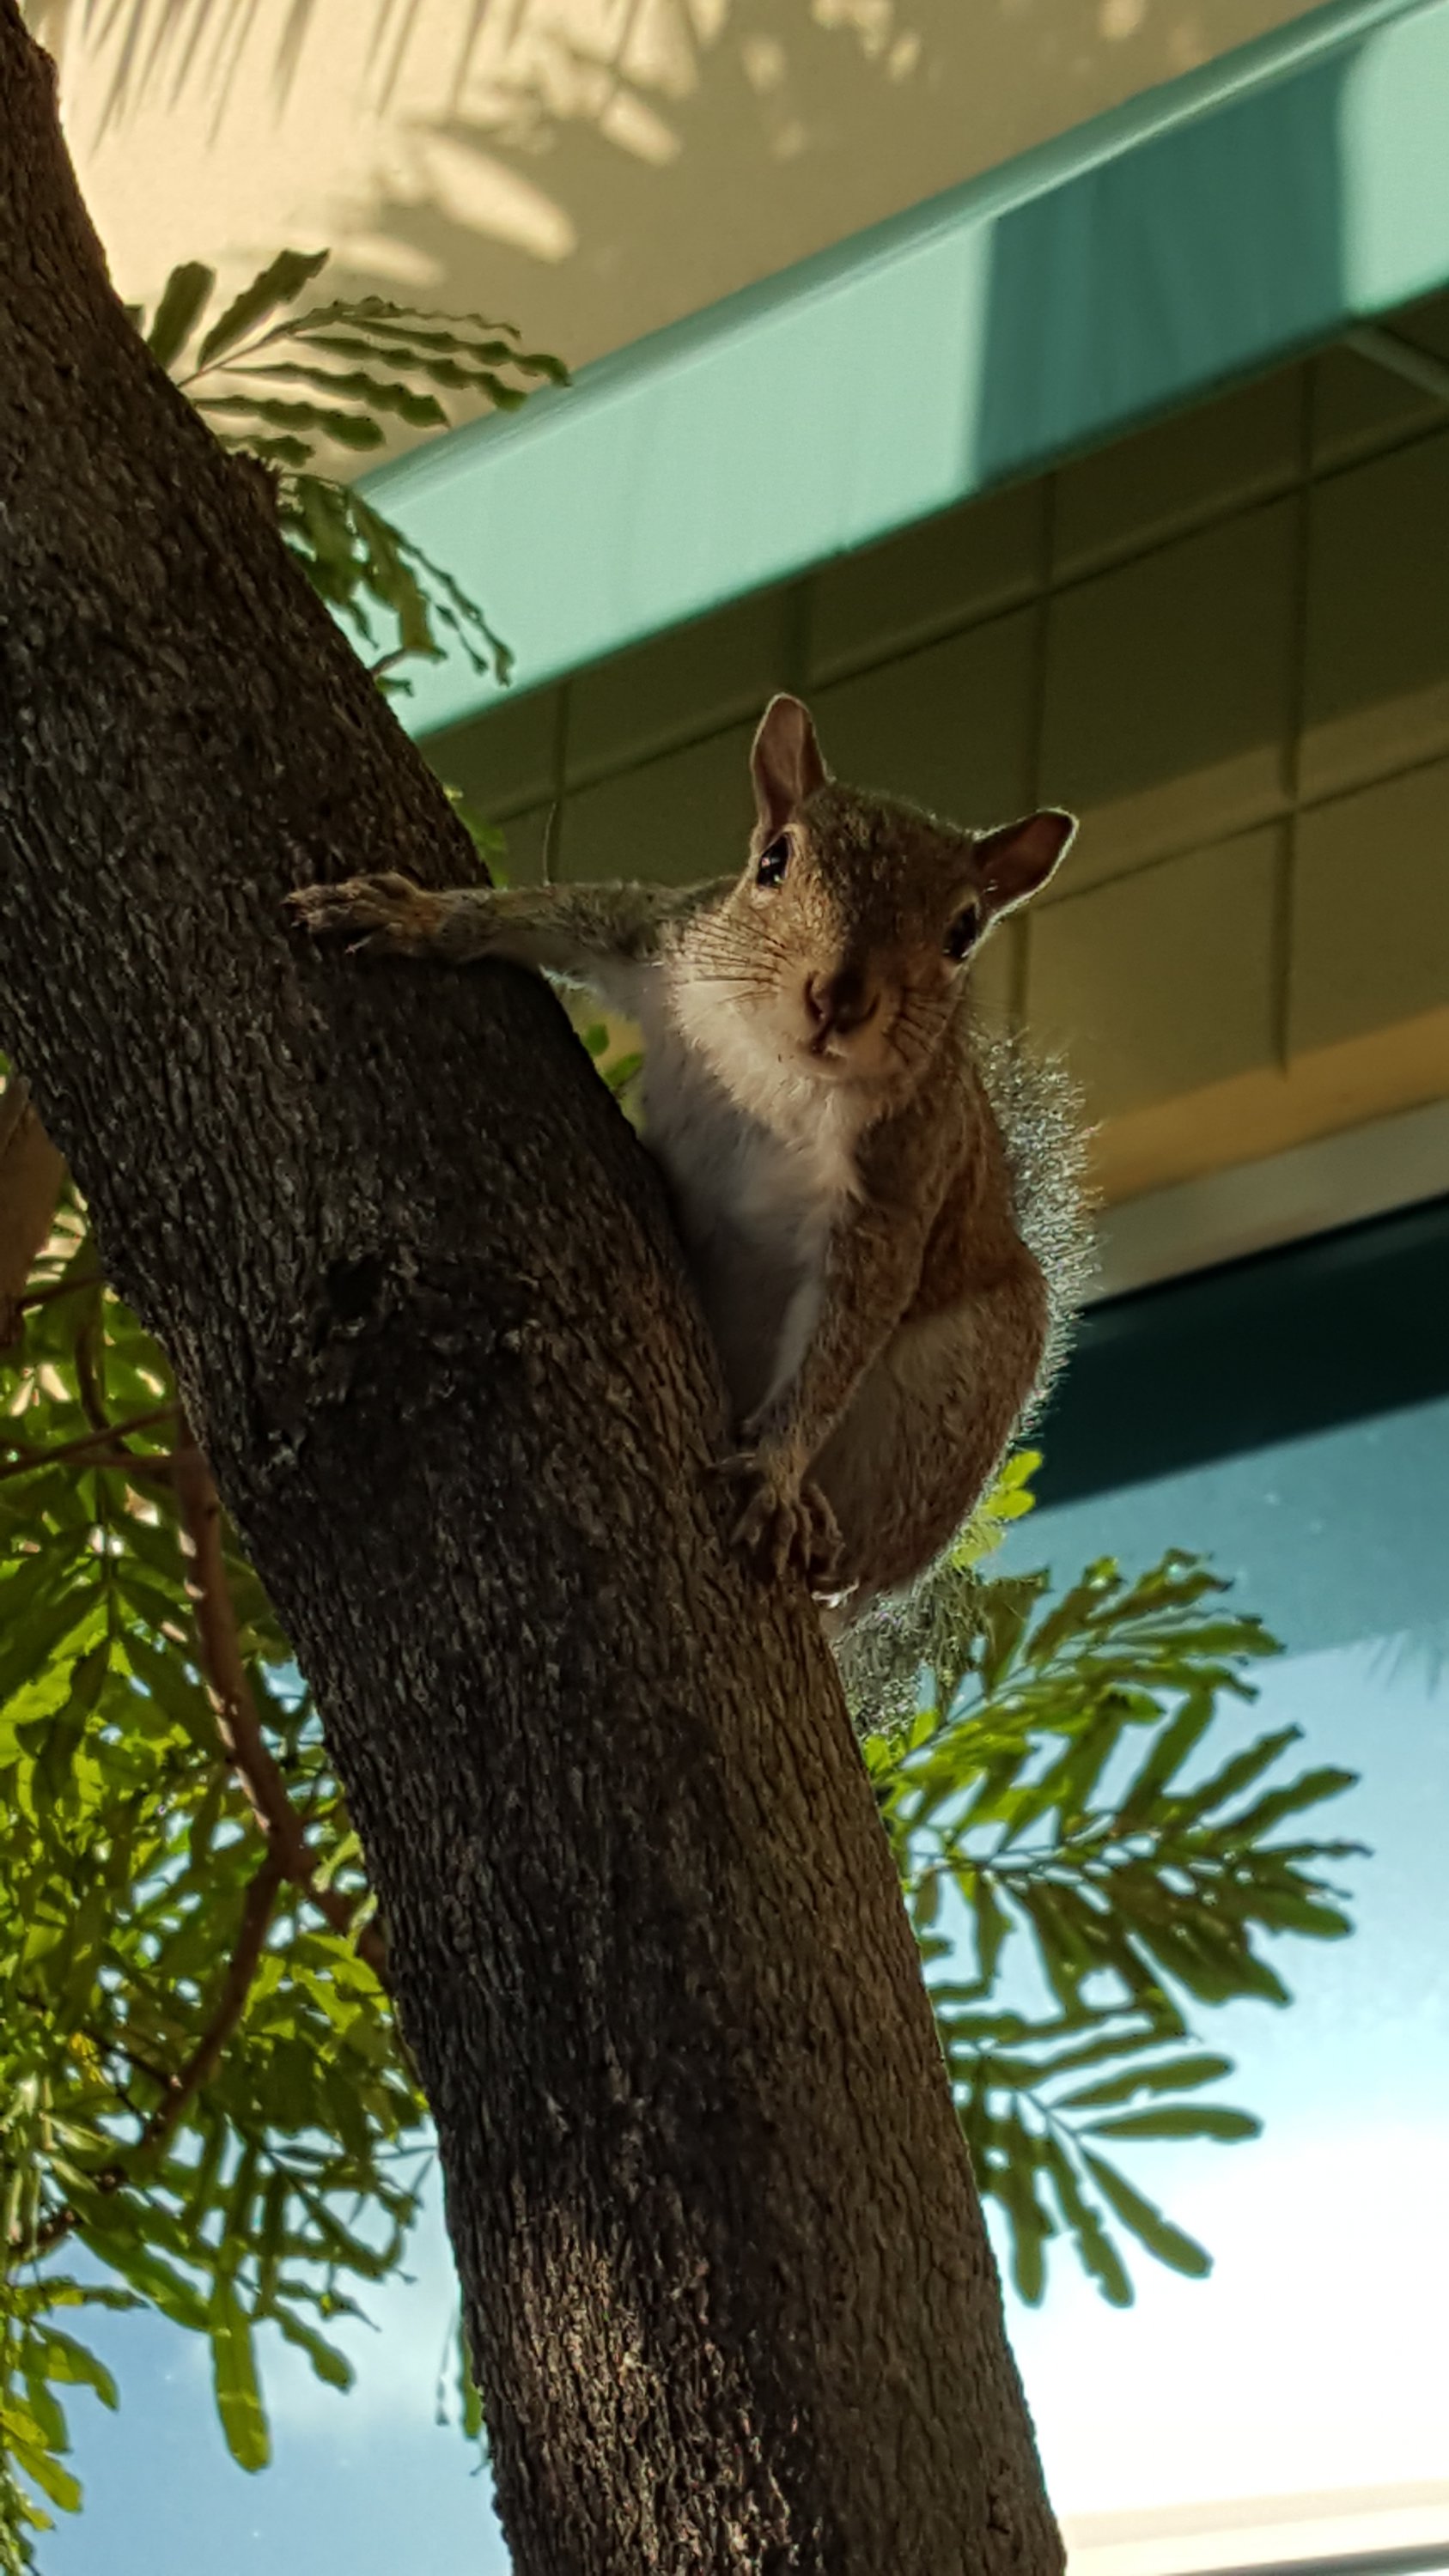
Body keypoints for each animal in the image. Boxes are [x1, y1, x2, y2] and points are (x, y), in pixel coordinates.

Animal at [288, 695, 1084, 1623]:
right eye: (772, 863)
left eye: (962, 933)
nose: (839, 998)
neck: (776, 1071)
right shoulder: (664, 935)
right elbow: (546, 914)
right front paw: (414, 918)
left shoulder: (895, 1191)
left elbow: (842, 1338)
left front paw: (777, 1471)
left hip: (959, 1394)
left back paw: (824, 1544)